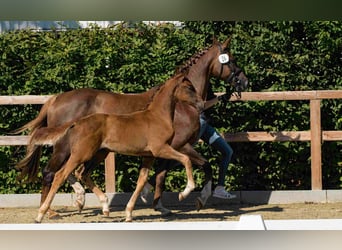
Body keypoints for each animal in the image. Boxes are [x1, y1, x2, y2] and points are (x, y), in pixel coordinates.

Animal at [29, 74, 203, 223]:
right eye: (189, 87)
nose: (201, 104)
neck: (157, 117)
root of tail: (77, 122)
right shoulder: (160, 149)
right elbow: (186, 159)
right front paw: (184, 192)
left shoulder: (149, 155)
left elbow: (141, 181)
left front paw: (129, 213)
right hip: (81, 154)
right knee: (60, 175)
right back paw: (42, 214)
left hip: (99, 153)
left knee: (81, 173)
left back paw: (104, 206)